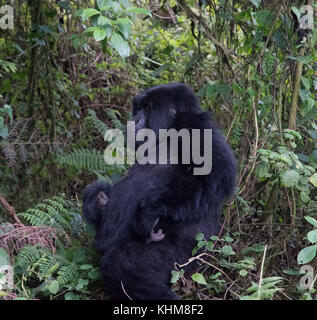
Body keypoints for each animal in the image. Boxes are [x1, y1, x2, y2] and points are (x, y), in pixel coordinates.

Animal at [82, 83, 236, 300]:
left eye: (147, 109)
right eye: (137, 109)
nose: (134, 120)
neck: (169, 130)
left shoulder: (195, 126)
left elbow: (215, 177)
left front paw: (150, 211)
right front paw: (98, 198)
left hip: (187, 261)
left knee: (121, 265)